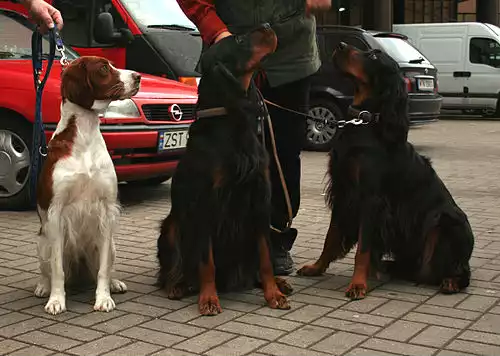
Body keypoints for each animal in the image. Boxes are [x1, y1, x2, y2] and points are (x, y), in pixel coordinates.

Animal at [35, 55, 141, 314]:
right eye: (103, 68)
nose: (138, 77)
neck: (84, 138)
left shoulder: (106, 210)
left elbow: (103, 269)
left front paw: (103, 298)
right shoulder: (55, 213)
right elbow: (57, 269)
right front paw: (56, 300)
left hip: (111, 244)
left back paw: (114, 283)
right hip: (42, 242)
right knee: (47, 270)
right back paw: (43, 287)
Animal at [155, 24, 290, 314]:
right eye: (239, 40)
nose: (268, 26)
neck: (231, 121)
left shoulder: (260, 200)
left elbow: (265, 257)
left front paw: (273, 293)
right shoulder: (206, 202)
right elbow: (207, 261)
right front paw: (208, 298)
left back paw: (279, 282)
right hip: (171, 226)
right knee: (172, 267)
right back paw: (178, 284)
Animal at [298, 42, 474, 300]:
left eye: (373, 56)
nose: (340, 45)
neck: (364, 123)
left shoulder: (370, 199)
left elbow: (363, 248)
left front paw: (358, 284)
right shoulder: (343, 193)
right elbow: (331, 237)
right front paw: (317, 267)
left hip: (445, 223)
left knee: (461, 271)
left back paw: (451, 281)